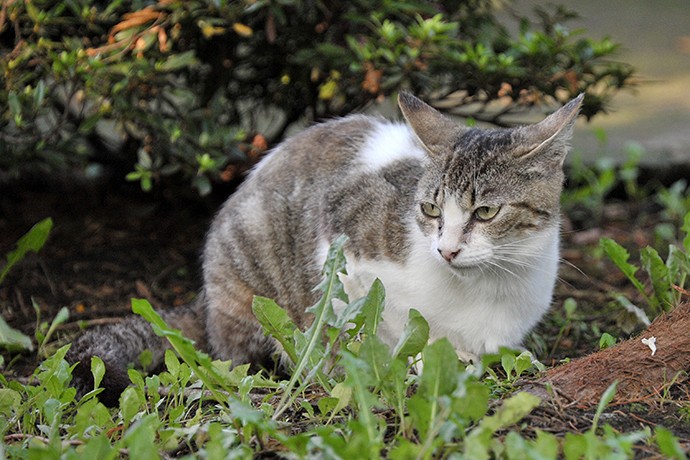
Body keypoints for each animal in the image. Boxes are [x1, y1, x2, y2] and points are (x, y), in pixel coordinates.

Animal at [68, 91, 580, 404]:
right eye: (431, 209)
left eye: (486, 213)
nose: (447, 250)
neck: (487, 287)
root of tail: (206, 301)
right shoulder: (345, 247)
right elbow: (387, 327)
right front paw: (420, 362)